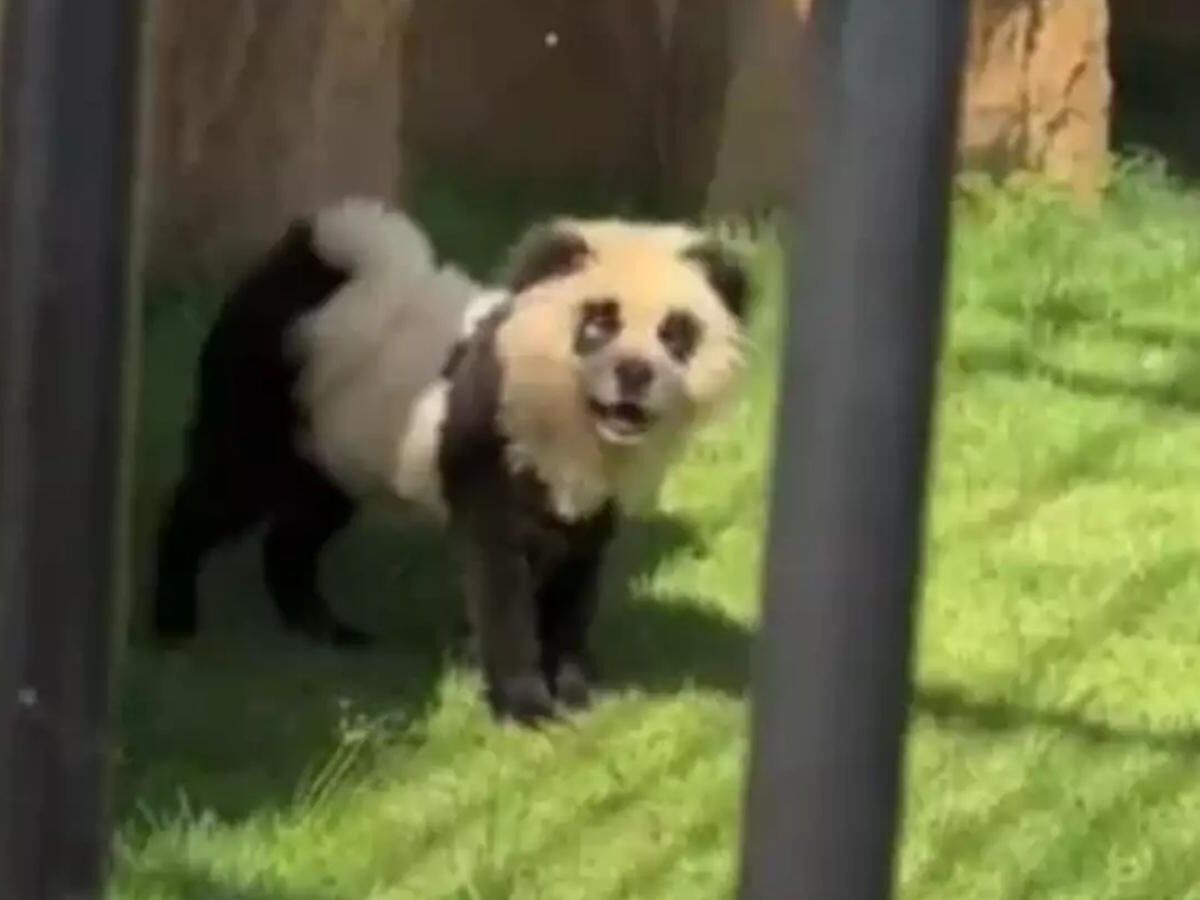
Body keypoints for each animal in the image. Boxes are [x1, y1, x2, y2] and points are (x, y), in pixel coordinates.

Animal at [152, 198, 752, 724]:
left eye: (676, 333)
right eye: (598, 322)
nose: (634, 374)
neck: (571, 422)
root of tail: (308, 258)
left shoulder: (589, 504)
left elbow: (575, 588)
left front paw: (578, 693)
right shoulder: (491, 450)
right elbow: (502, 585)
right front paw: (527, 709)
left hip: (335, 447)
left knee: (297, 532)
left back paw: (326, 630)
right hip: (260, 399)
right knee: (219, 493)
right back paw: (174, 620)